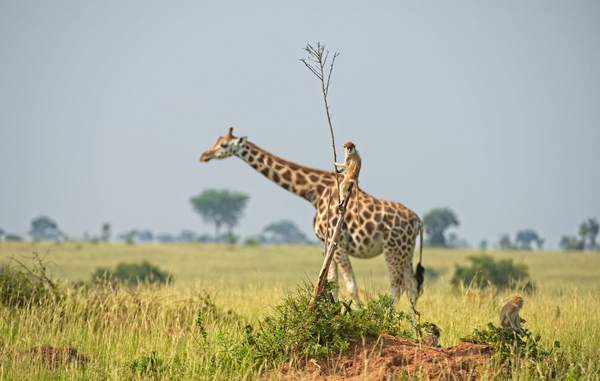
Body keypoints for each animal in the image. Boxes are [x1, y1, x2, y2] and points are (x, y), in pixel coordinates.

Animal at [199, 127, 424, 318]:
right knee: (411, 286)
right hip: (406, 251)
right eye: (218, 141)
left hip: (391, 248)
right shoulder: (325, 242)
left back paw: (389, 320)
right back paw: (414, 329)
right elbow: (331, 284)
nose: (204, 156)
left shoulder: (338, 242)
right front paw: (333, 313)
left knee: (396, 286)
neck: (314, 191)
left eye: (224, 145)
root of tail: (417, 220)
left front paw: (357, 317)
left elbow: (350, 285)